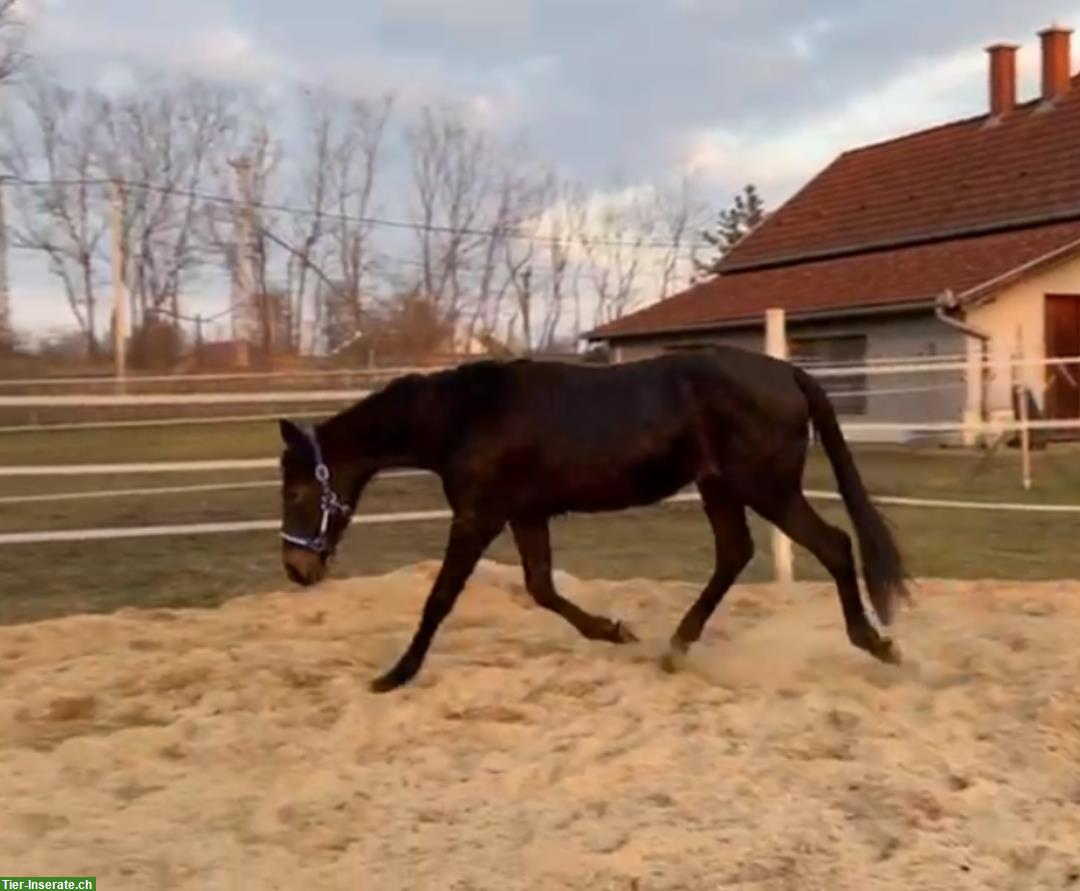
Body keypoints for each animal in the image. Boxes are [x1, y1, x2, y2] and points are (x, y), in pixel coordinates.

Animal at [276, 352, 902, 691]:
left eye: (299, 489)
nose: (296, 567)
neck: (466, 416)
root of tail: (788, 373)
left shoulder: (479, 516)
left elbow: (441, 598)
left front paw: (394, 676)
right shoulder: (525, 514)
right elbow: (541, 589)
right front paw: (615, 630)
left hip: (766, 488)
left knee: (834, 545)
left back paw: (877, 643)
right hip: (721, 487)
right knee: (735, 554)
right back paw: (673, 649)